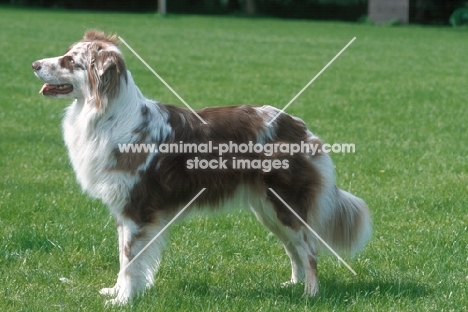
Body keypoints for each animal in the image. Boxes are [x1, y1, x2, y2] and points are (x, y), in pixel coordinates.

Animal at [31, 30, 372, 304]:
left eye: (68, 61)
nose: (34, 64)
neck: (108, 115)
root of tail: (299, 126)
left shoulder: (136, 211)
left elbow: (129, 260)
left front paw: (123, 300)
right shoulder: (123, 211)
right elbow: (123, 258)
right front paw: (115, 291)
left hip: (285, 204)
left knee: (310, 249)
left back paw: (311, 295)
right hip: (267, 209)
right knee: (295, 249)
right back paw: (292, 285)